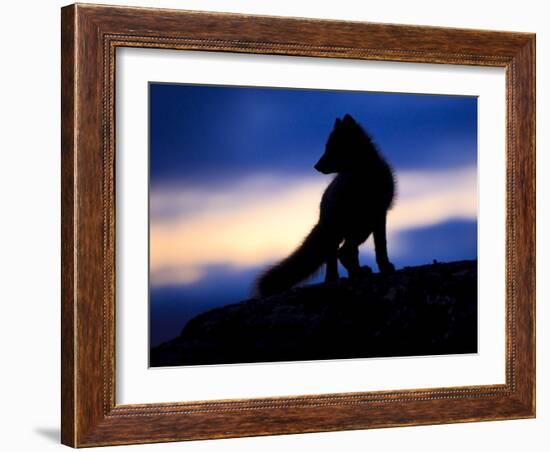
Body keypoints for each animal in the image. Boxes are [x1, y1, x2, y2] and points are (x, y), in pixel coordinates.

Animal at [258, 113, 396, 296]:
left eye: (333, 148)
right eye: (326, 147)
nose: (316, 166)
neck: (363, 177)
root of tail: (321, 211)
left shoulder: (379, 214)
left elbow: (381, 247)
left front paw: (385, 267)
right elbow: (376, 247)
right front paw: (382, 269)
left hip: (360, 229)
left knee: (342, 253)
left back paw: (350, 275)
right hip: (350, 230)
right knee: (341, 253)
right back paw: (348, 276)